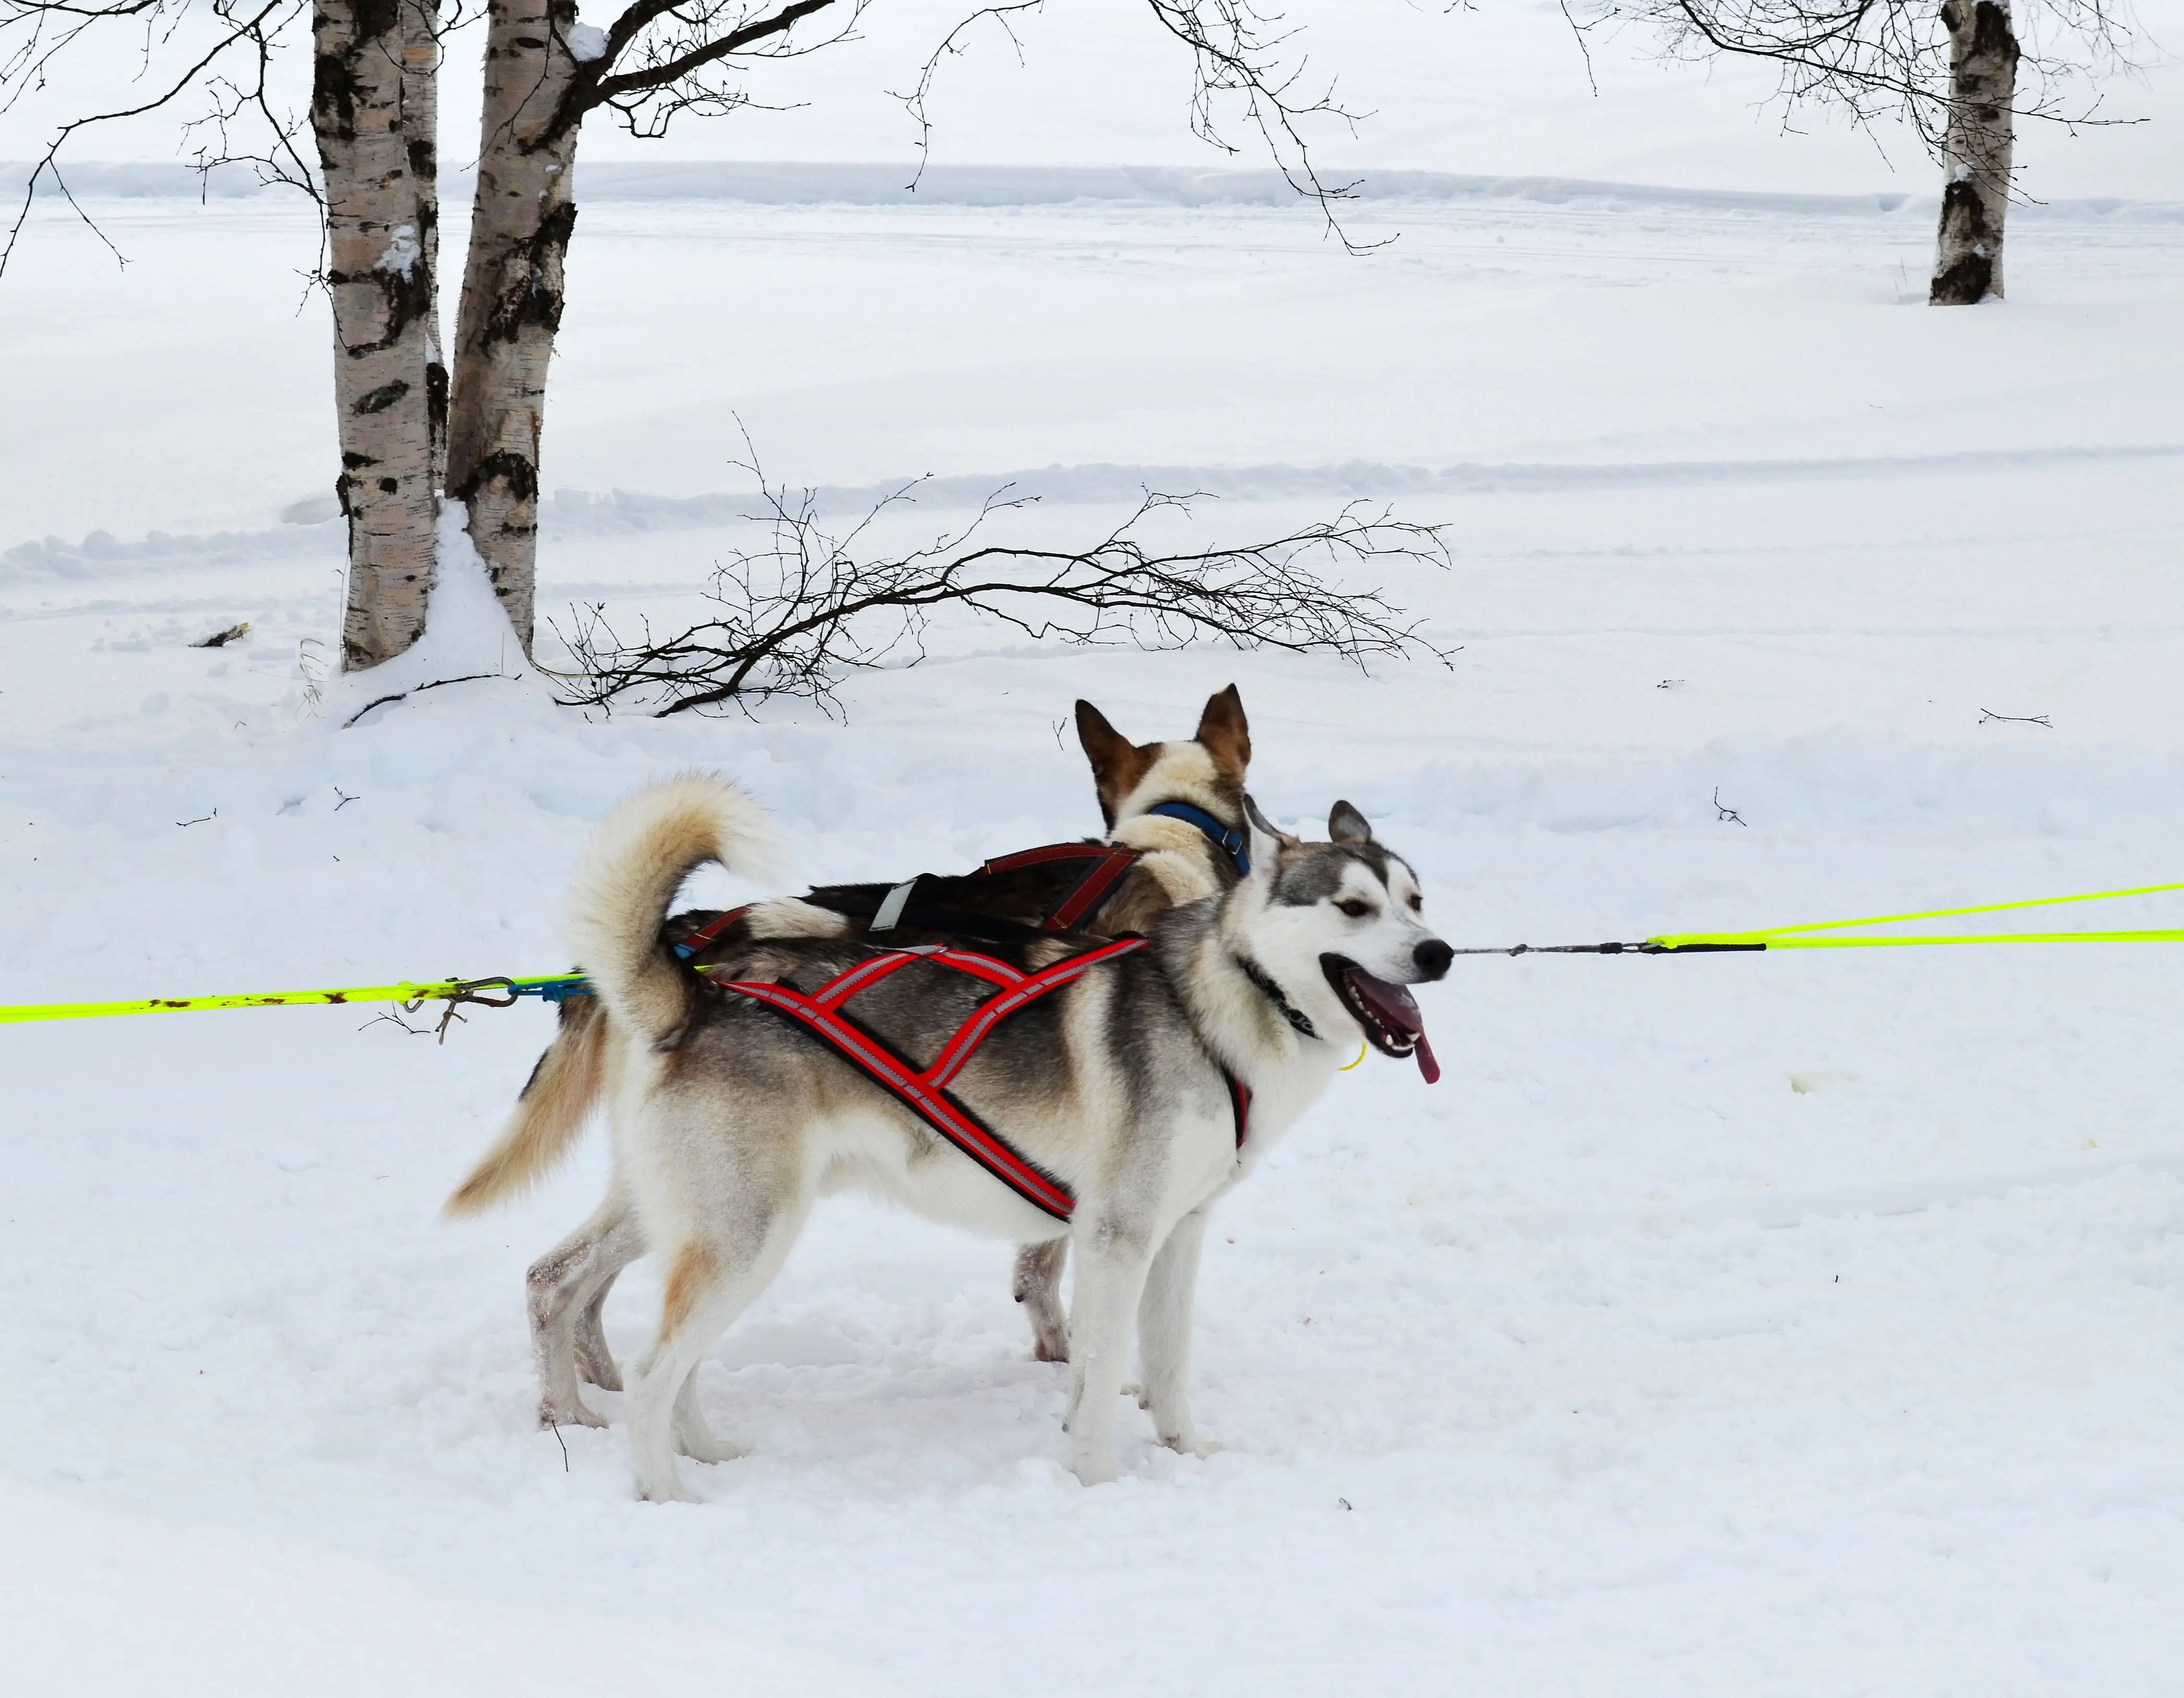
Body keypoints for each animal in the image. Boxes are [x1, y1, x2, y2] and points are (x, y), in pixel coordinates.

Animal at [443, 685, 1258, 1414]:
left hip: (674, 1185)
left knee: (565, 1281)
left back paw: (588, 1399)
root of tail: (678, 945)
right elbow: (1049, 1269)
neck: (1166, 848)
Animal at [563, 773, 1450, 1492]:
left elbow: (1164, 1361)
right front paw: (1099, 1482)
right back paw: (669, 1493)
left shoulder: (1177, 1231)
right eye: (1353, 907)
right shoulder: (1116, 1238)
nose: (1439, 952)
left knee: (666, 1356)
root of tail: (697, 995)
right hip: (748, 1235)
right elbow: (1100, 1373)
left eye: (1415, 901)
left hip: (707, 1231)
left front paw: (1187, 1454)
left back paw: (704, 1452)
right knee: (650, 1372)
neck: (1224, 998)